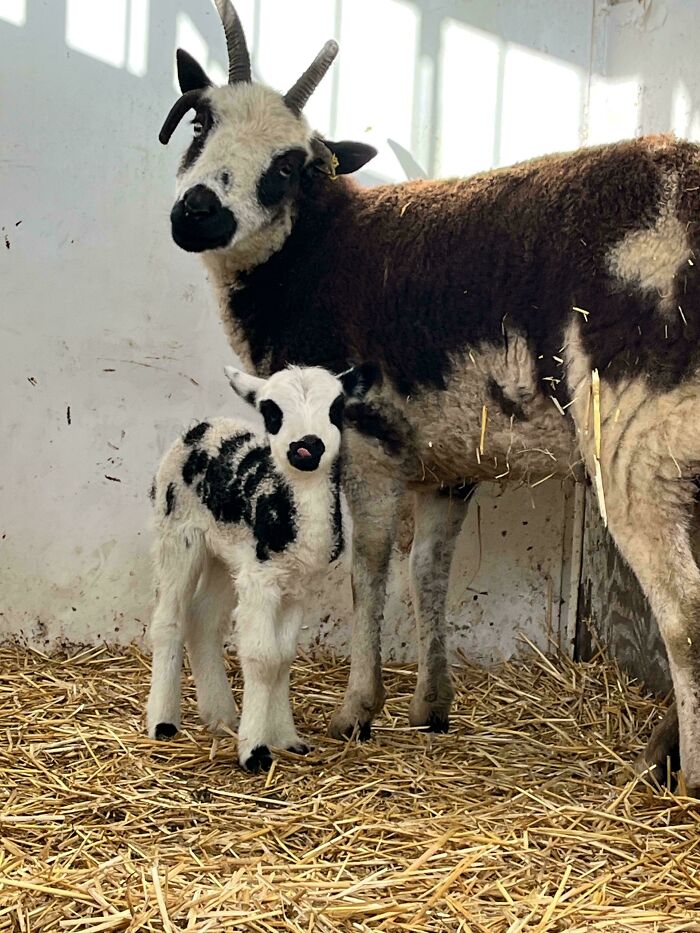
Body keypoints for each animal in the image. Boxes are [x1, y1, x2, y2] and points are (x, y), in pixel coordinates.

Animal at [145, 362, 376, 772]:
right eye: (271, 412)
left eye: (336, 409)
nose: (306, 446)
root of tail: (204, 427)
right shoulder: (261, 580)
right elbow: (262, 657)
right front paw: (254, 750)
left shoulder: (297, 584)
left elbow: (283, 658)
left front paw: (286, 738)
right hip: (177, 533)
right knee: (168, 620)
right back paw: (163, 722)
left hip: (224, 553)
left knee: (203, 620)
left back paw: (221, 717)